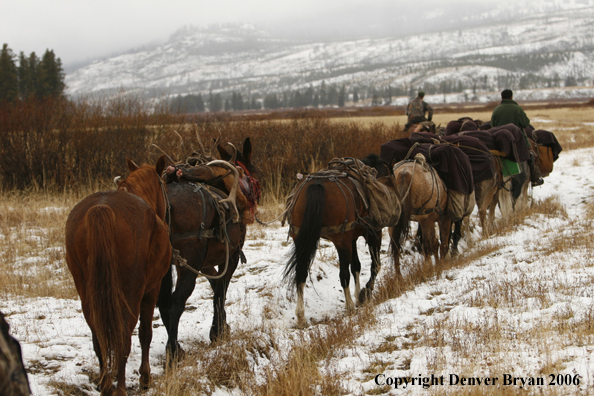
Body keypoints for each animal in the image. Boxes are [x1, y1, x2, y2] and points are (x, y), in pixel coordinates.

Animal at [65, 155, 171, 396]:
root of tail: (100, 209)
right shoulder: (152, 289)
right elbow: (145, 333)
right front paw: (145, 377)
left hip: (86, 291)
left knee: (98, 335)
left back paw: (104, 383)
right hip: (132, 290)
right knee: (124, 335)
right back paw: (120, 387)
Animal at [157, 138, 260, 358]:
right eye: (254, 174)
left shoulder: (205, 263)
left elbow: (216, 286)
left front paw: (221, 327)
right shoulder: (231, 256)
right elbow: (221, 290)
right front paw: (218, 330)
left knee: (162, 302)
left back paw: (177, 347)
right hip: (188, 262)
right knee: (177, 301)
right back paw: (173, 352)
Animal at [284, 154, 394, 324]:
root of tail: (317, 185)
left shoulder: (351, 238)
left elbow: (356, 266)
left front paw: (358, 294)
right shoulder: (373, 233)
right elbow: (374, 266)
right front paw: (364, 294)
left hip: (301, 239)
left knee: (301, 272)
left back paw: (301, 315)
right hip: (341, 242)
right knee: (343, 275)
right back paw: (349, 306)